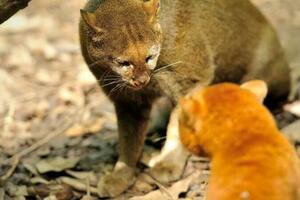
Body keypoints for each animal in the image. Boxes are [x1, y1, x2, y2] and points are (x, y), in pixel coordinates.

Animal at [79, 0, 290, 197]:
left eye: (149, 56)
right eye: (123, 62)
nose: (141, 80)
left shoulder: (189, 82)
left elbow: (177, 126)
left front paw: (168, 164)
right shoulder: (128, 101)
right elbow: (128, 139)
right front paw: (120, 174)